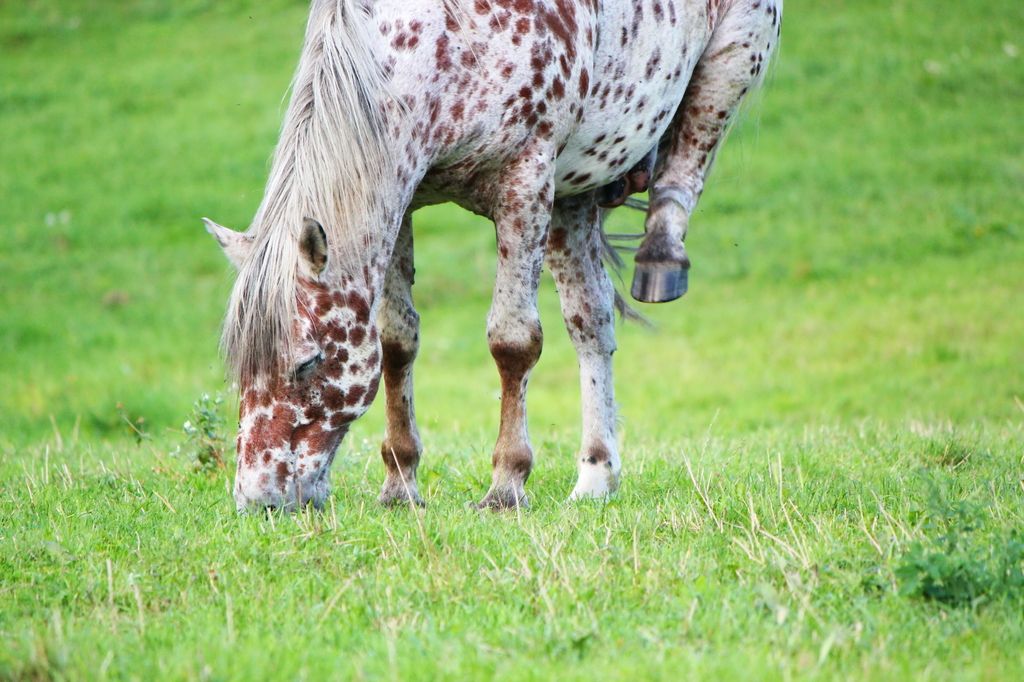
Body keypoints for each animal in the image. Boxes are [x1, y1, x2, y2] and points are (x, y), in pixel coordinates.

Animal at [203, 0, 781, 512]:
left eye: (308, 361)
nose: (257, 499)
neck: (444, 40)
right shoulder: (403, 198)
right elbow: (396, 340)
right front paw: (401, 484)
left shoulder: (524, 185)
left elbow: (513, 341)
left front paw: (507, 484)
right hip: (571, 199)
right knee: (590, 322)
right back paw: (595, 478)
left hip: (732, 58)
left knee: (689, 158)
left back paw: (662, 257)